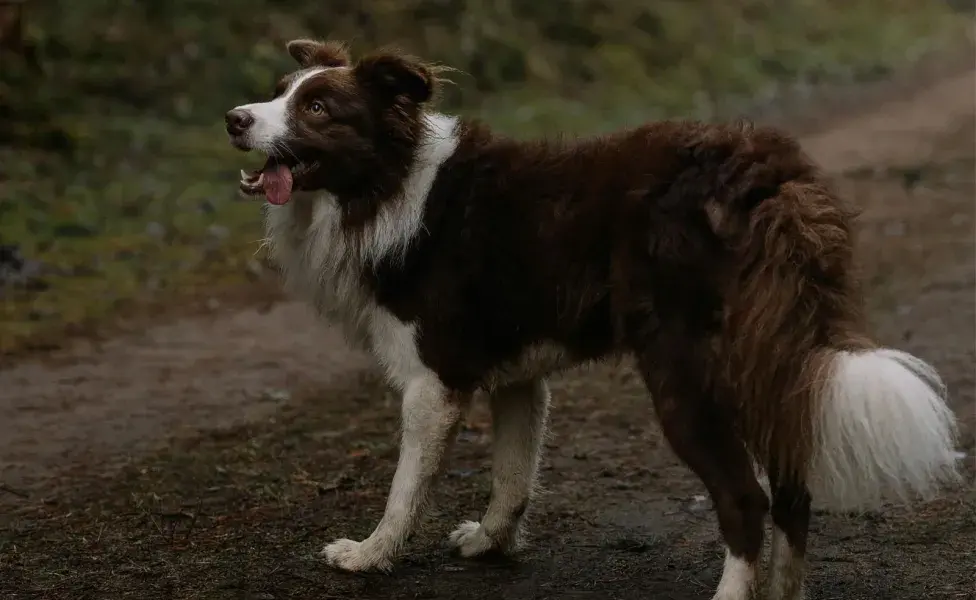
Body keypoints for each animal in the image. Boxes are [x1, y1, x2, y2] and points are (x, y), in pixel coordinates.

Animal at [223, 41, 960, 600]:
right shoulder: (518, 378)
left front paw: (369, 554)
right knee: (792, 490)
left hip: (685, 377)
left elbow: (406, 488)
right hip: (767, 361)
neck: (387, 185)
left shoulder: (434, 382)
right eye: (280, 92)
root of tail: (763, 173)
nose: (233, 118)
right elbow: (513, 477)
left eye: (317, 107)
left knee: (746, 500)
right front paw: (490, 542)